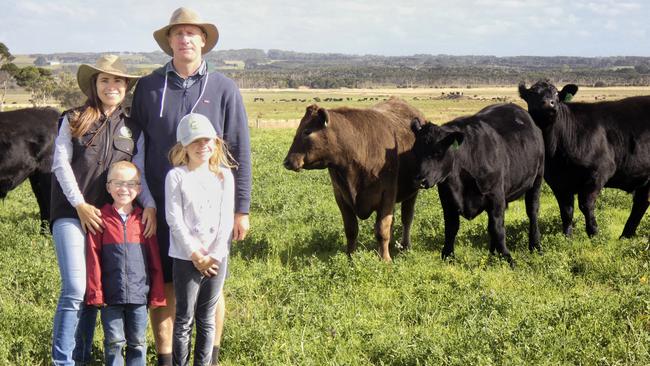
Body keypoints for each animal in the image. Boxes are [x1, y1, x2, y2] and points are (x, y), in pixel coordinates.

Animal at [284, 97, 426, 262]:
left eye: (307, 131)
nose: (287, 162)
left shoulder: (387, 195)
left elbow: (382, 229)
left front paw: (385, 259)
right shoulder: (341, 196)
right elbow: (351, 230)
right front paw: (350, 257)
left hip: (412, 193)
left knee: (407, 219)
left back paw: (405, 246)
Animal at [412, 103, 544, 264]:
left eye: (437, 152)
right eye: (415, 151)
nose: (419, 180)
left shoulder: (495, 196)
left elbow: (497, 228)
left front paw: (507, 257)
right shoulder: (447, 198)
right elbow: (451, 227)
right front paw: (447, 256)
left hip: (537, 178)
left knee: (532, 211)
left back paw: (535, 246)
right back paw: (493, 253)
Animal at [516, 81, 648, 237]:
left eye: (556, 93)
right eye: (533, 93)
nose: (549, 103)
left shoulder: (598, 172)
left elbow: (586, 205)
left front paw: (594, 234)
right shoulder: (557, 181)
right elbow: (566, 210)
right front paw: (567, 237)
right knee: (641, 203)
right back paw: (625, 236)